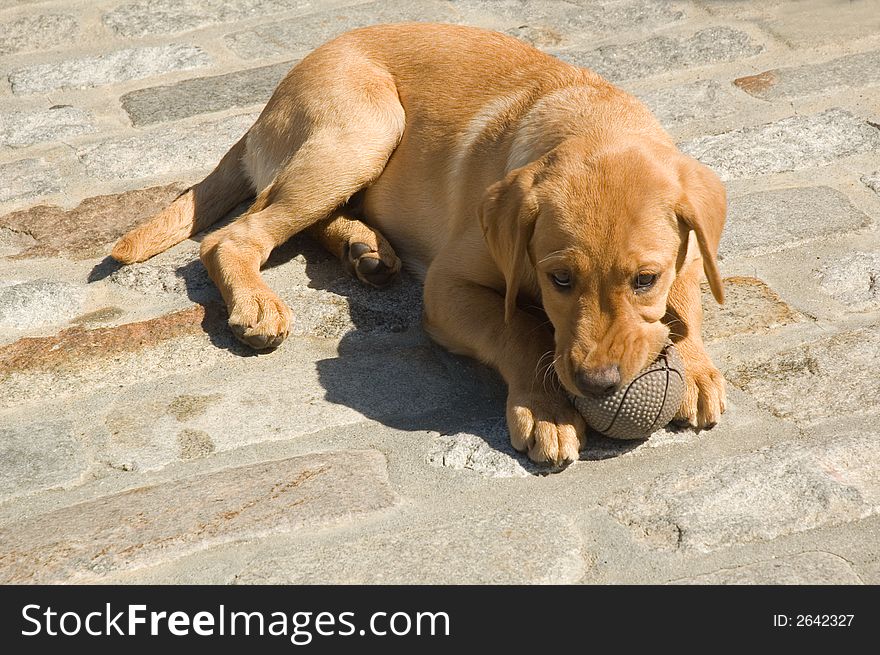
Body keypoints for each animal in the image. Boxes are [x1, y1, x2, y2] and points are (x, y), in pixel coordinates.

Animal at [111, 24, 728, 466]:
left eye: (645, 279)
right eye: (560, 280)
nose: (597, 385)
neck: (593, 123)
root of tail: (272, 99)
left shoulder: (690, 252)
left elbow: (687, 302)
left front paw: (696, 366)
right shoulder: (447, 285)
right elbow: (519, 330)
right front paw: (545, 407)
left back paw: (365, 248)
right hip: (365, 128)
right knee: (234, 233)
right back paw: (258, 303)